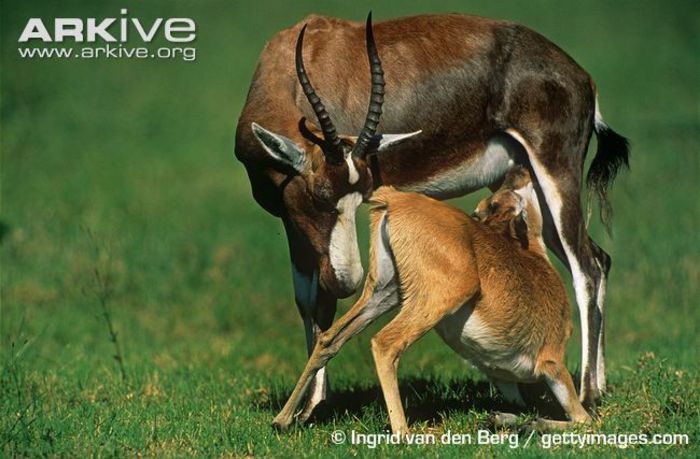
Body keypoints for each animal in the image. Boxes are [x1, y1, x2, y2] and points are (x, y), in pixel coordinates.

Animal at [274, 167, 592, 434]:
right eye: (493, 203)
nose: (520, 170)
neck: (534, 259)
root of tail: (395, 198)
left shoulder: (505, 379)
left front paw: (502, 418)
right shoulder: (552, 365)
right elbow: (584, 420)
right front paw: (528, 422)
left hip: (386, 293)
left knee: (329, 339)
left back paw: (284, 419)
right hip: (436, 299)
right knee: (385, 343)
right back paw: (404, 434)